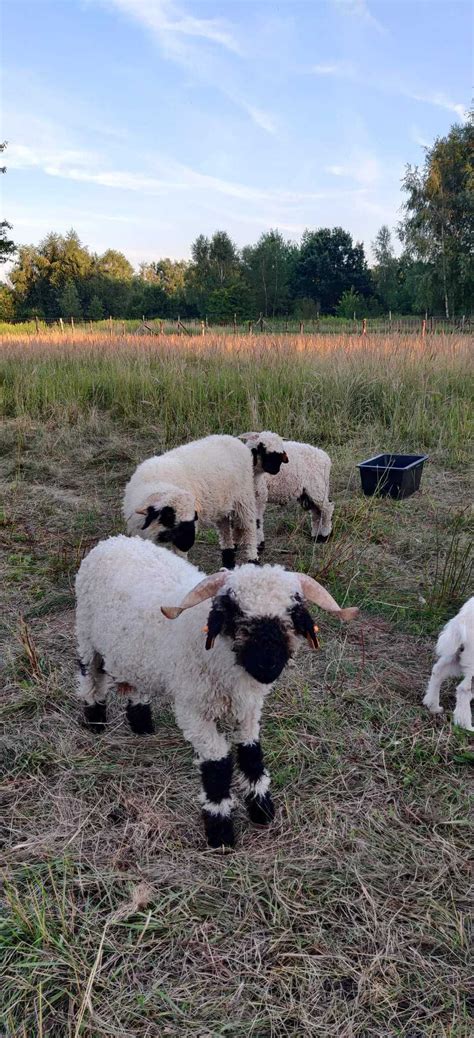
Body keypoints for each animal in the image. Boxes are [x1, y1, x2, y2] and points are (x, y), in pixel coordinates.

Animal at [73, 539, 356, 847]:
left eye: (292, 613)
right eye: (234, 612)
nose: (267, 665)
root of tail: (115, 541)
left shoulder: (249, 709)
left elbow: (251, 753)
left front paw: (262, 809)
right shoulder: (193, 712)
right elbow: (217, 763)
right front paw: (220, 831)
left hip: (134, 654)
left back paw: (141, 723)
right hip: (86, 635)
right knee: (90, 674)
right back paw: (95, 719)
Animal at [121, 433, 284, 572]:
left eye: (193, 517)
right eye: (168, 516)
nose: (188, 544)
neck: (158, 483)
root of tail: (232, 439)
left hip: (243, 498)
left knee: (249, 528)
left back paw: (252, 560)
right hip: (223, 504)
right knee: (225, 530)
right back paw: (228, 561)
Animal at [423, 597, 470, 734]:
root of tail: (463, 619)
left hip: (455, 654)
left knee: (438, 671)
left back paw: (433, 706)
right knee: (464, 690)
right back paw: (466, 726)